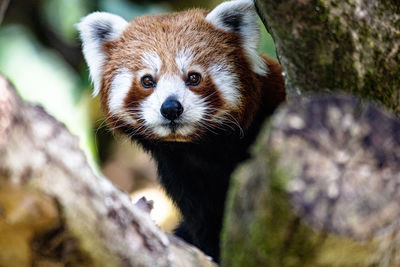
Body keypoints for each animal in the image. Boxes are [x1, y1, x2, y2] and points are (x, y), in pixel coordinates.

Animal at [77, 0, 284, 264]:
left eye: (194, 77)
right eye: (147, 81)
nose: (171, 108)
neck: (203, 150)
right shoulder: (183, 176)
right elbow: (205, 222)